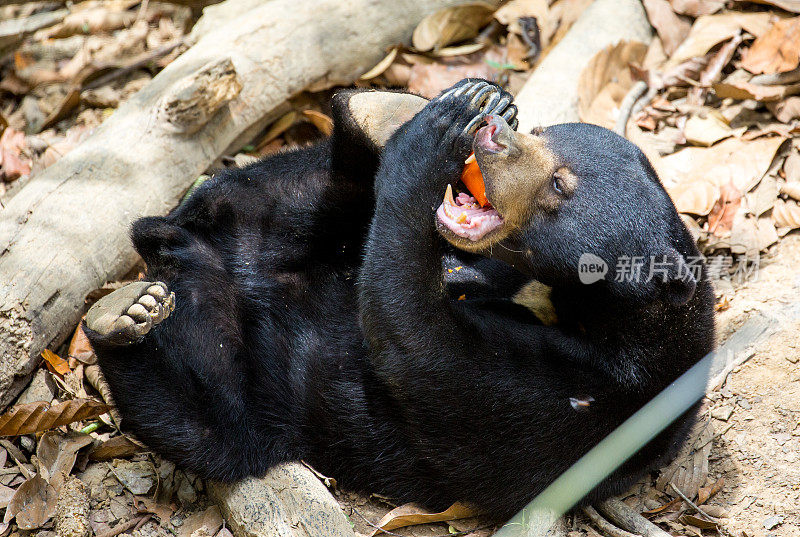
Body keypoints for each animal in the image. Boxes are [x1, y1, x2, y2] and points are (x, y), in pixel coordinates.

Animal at [84, 80, 716, 520]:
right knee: (294, 194)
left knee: (200, 416)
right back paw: (387, 109)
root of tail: (193, 250)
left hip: (246, 399)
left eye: (559, 185)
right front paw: (476, 104)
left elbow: (417, 345)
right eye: (543, 137)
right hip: (260, 201)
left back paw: (126, 316)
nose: (494, 136)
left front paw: (429, 147)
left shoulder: (588, 407)